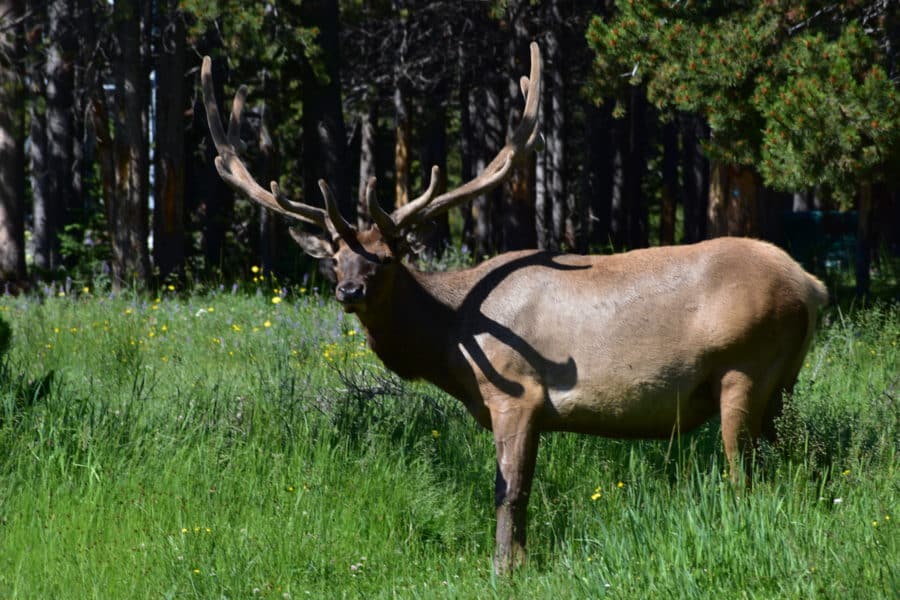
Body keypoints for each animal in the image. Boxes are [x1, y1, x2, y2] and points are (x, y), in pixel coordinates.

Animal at [204, 44, 828, 576]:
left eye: (387, 256)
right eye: (335, 261)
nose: (349, 291)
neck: (453, 340)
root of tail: (812, 286)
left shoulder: (517, 390)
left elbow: (509, 489)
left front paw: (504, 568)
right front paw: (520, 561)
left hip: (744, 366)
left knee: (743, 471)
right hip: (782, 381)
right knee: (785, 460)